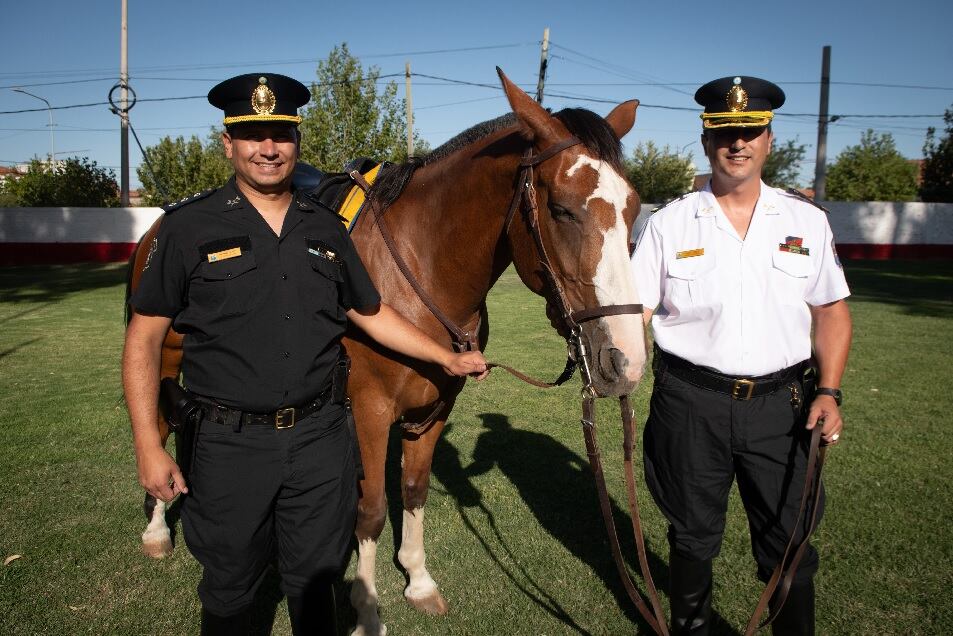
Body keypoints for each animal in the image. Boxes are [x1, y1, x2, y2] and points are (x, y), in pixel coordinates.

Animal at [126, 69, 648, 632]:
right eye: (561, 209)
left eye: (633, 211)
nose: (625, 360)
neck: (421, 272)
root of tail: (159, 225)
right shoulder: (370, 413)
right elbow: (372, 508)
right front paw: (366, 606)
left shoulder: (434, 409)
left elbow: (414, 490)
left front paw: (417, 580)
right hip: (162, 361)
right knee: (158, 426)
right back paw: (156, 530)